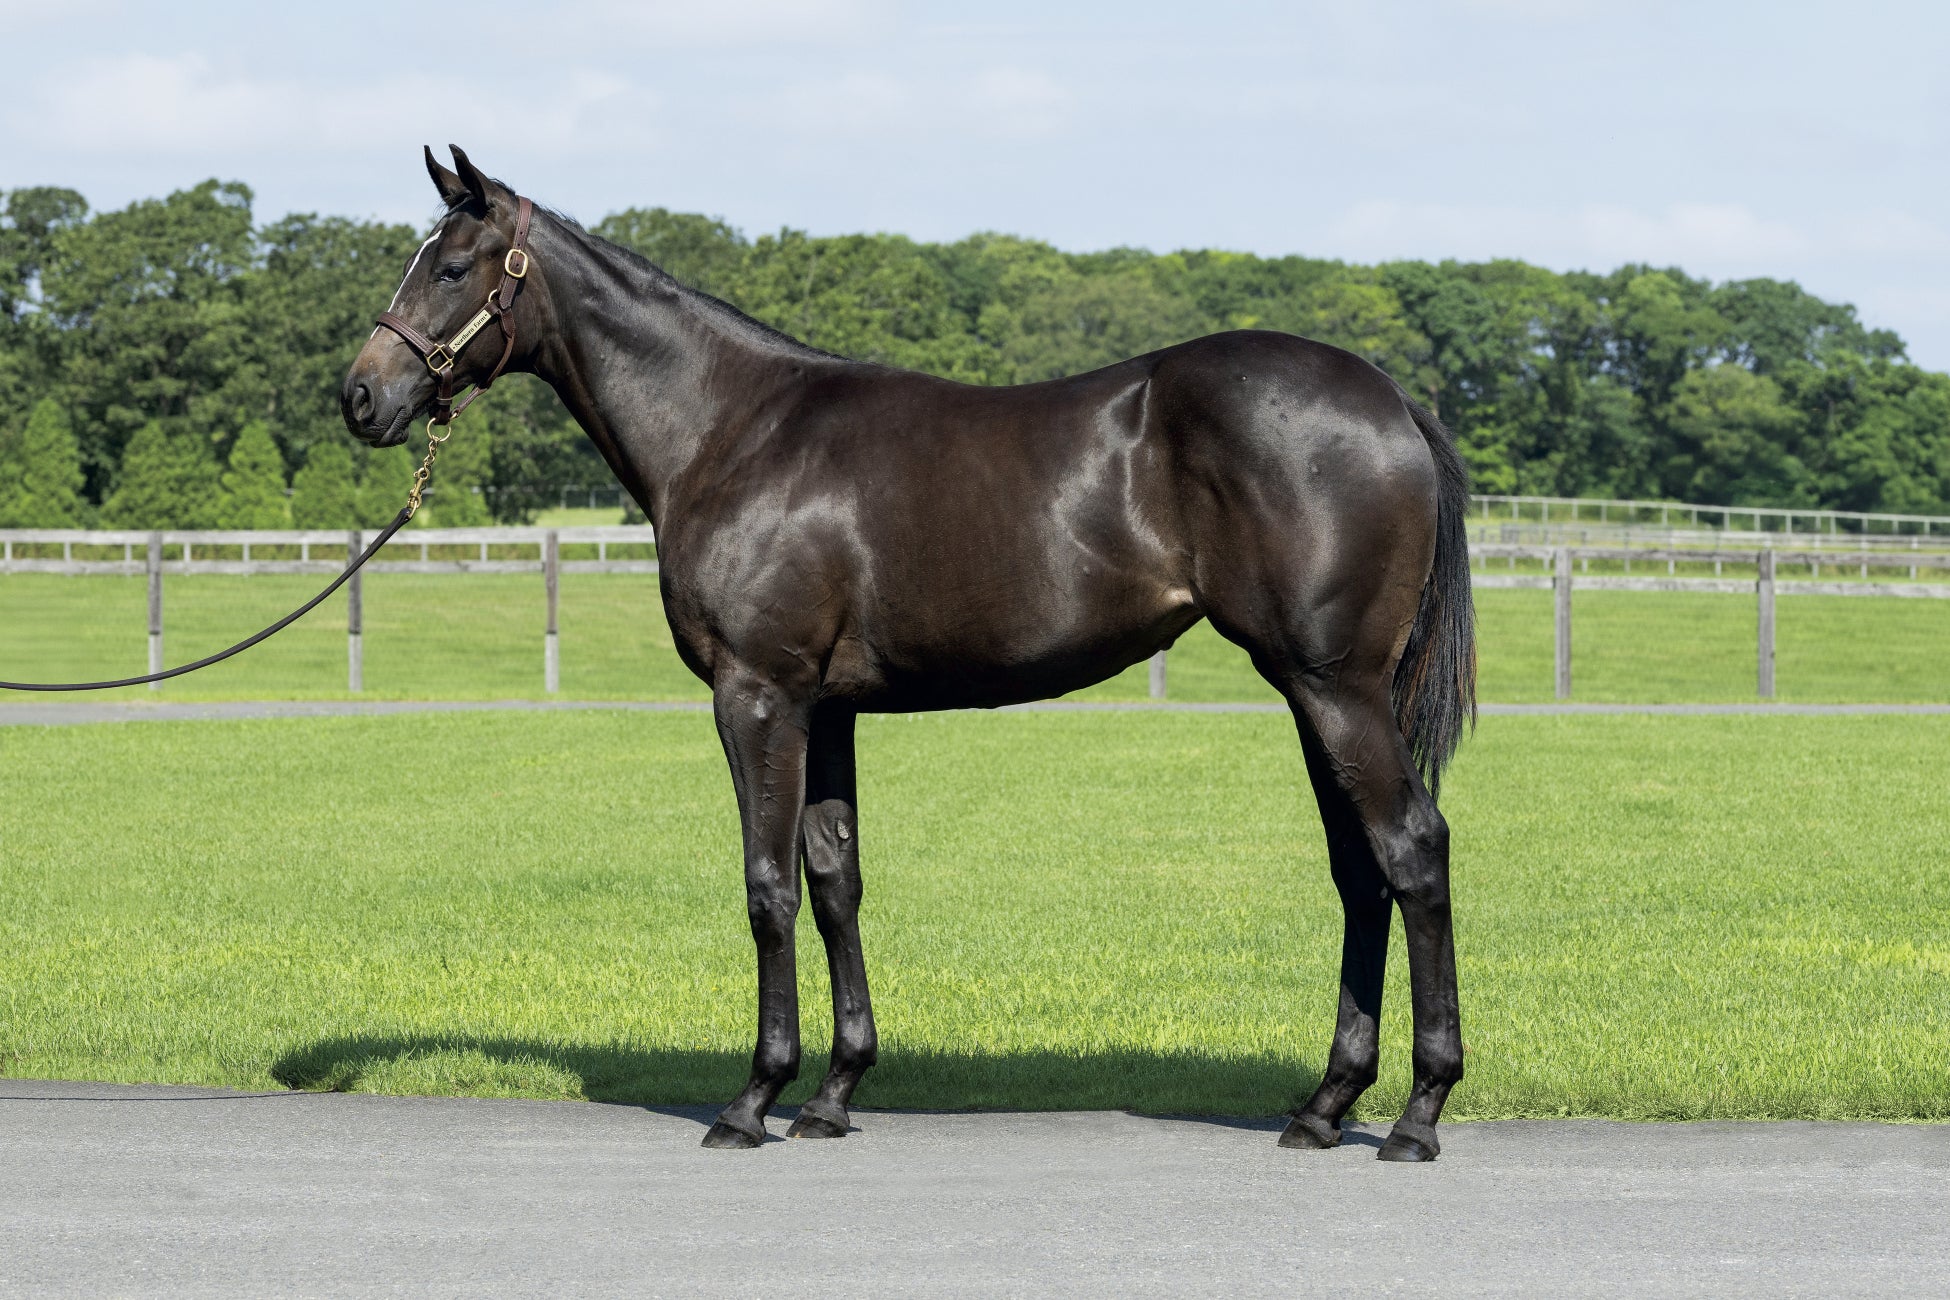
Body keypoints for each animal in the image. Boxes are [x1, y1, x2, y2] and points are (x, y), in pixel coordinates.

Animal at [342, 146, 1476, 1161]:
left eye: (452, 267)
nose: (361, 397)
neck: (732, 431)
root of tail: (1390, 403)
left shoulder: (757, 695)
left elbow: (768, 886)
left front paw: (753, 1099)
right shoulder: (826, 706)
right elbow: (835, 879)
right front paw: (834, 1093)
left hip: (1335, 690)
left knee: (1412, 851)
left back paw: (1417, 1116)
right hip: (1314, 693)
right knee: (1361, 871)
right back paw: (1325, 1107)